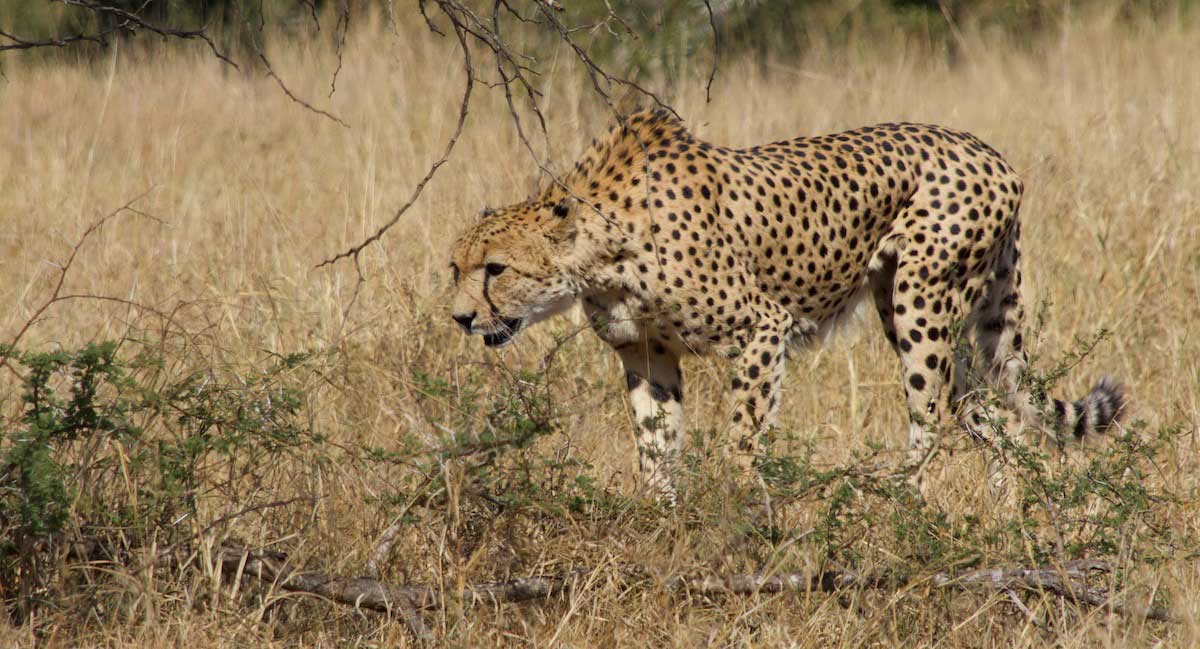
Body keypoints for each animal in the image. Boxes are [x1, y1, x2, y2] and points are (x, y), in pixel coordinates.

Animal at [447, 108, 1125, 500]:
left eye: (496, 269)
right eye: (455, 268)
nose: (460, 317)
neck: (601, 249)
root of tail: (991, 153)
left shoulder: (762, 328)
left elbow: (743, 437)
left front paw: (745, 507)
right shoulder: (646, 350)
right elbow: (655, 443)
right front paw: (658, 516)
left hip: (921, 301)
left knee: (930, 413)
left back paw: (899, 502)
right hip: (921, 307)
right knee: (992, 417)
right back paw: (1004, 513)